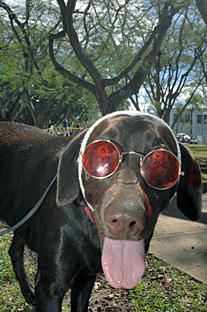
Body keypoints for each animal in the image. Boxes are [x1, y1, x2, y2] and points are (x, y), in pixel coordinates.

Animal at [0, 111, 202, 310]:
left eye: (161, 160)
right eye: (101, 153)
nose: (124, 220)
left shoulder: (86, 278)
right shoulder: (49, 288)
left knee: (14, 251)